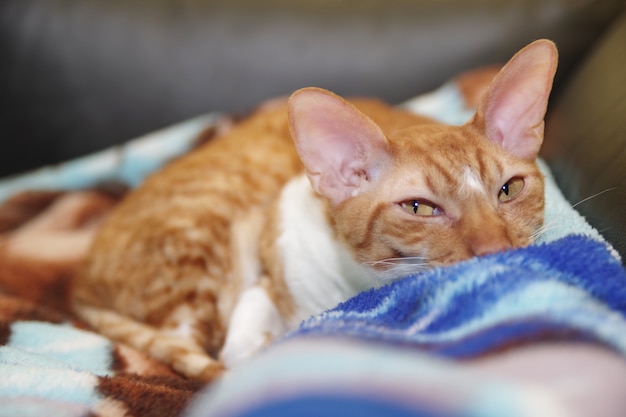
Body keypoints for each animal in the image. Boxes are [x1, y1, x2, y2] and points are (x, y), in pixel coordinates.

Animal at [72, 39, 556, 380]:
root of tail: (78, 278)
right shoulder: (267, 269)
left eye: (509, 190)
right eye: (419, 208)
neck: (353, 288)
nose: (496, 249)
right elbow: (239, 351)